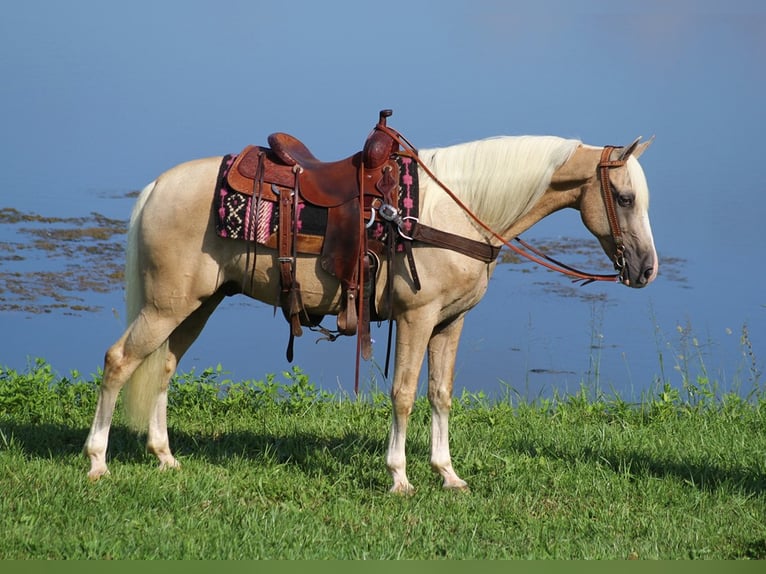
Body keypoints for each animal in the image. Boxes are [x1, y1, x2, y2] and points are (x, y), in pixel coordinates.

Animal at [84, 127, 660, 496]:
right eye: (625, 198)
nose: (647, 269)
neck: (456, 210)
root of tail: (157, 187)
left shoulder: (450, 322)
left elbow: (441, 394)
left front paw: (447, 474)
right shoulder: (416, 317)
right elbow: (403, 394)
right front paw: (400, 476)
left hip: (196, 306)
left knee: (162, 366)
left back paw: (165, 456)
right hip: (167, 306)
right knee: (118, 361)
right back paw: (97, 462)